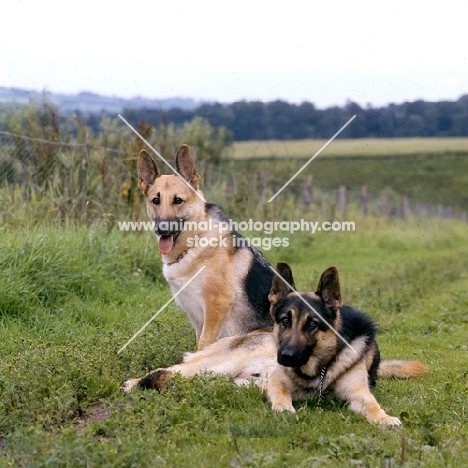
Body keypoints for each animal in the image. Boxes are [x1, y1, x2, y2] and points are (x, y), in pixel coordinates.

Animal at [121, 262, 428, 426]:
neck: (320, 369)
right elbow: (282, 394)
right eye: (284, 320)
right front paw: (284, 408)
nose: (285, 356)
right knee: (166, 371)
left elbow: (373, 405)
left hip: (218, 377)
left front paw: (385, 418)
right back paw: (134, 383)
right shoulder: (278, 380)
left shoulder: (359, 393)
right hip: (217, 365)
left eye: (312, 324)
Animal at [137, 144, 272, 350]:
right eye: (156, 200)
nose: (162, 230)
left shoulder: (216, 308)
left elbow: (204, 345)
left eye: (178, 200)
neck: (194, 244)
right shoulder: (198, 319)